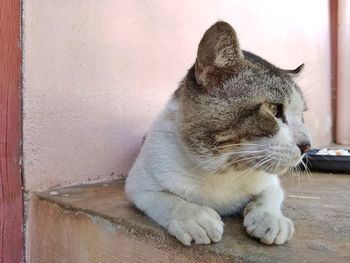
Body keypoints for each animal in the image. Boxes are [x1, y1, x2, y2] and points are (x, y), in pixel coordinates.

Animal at [124, 21, 310, 246]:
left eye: (302, 116)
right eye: (273, 109)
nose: (307, 145)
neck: (224, 169)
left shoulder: (271, 181)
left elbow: (270, 195)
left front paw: (271, 218)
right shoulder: (139, 183)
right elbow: (166, 199)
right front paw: (194, 217)